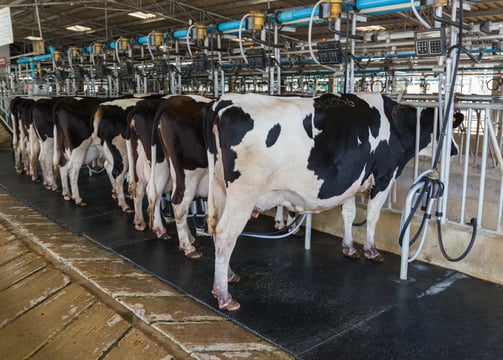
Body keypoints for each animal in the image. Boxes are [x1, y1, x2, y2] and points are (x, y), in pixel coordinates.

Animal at [205, 92, 448, 310]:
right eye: (441, 132)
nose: (453, 150)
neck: (395, 123)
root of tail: (222, 103)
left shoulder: (351, 182)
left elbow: (349, 213)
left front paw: (349, 248)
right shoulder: (384, 176)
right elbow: (372, 214)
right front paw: (371, 250)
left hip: (219, 187)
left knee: (215, 227)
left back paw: (229, 276)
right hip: (243, 194)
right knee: (226, 233)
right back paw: (224, 295)